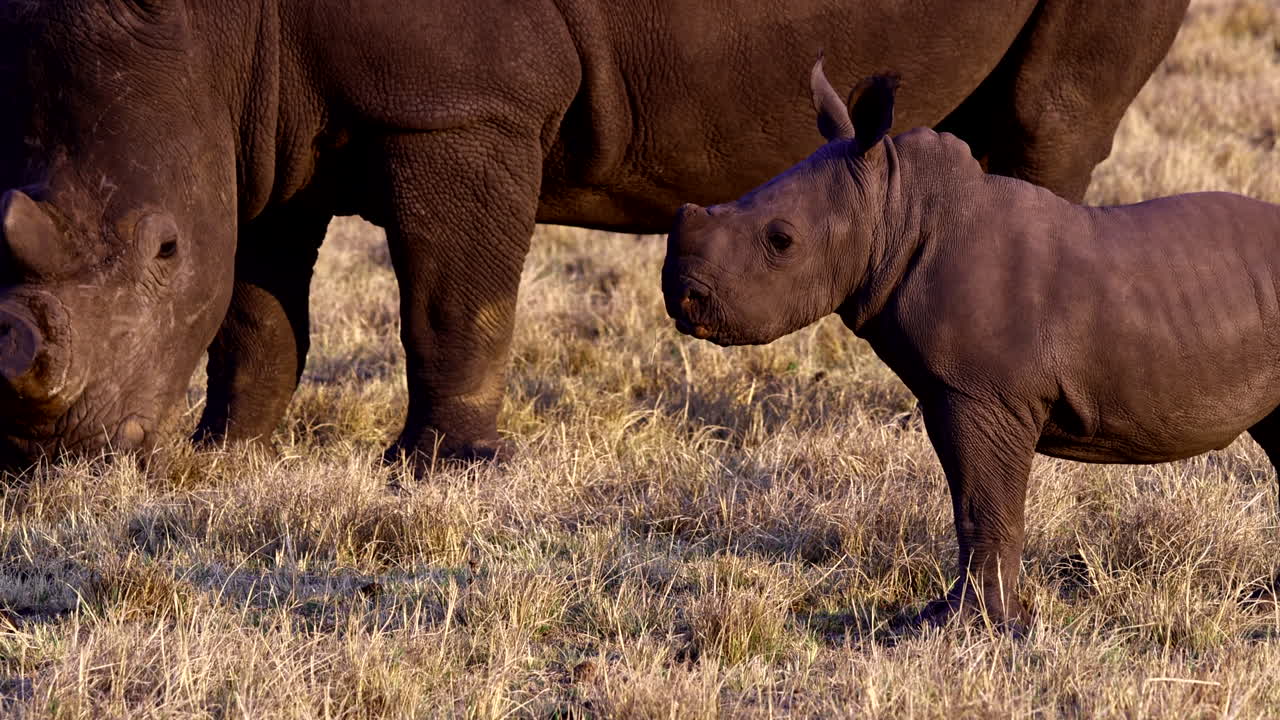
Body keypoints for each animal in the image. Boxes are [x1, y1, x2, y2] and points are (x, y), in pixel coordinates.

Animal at [0, 0, 1188, 470]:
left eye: (160, 252)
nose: (55, 454)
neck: (212, 25)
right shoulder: (258, 121)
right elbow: (254, 303)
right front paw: (226, 451)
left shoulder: (461, 103)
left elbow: (453, 297)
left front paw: (444, 469)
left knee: (1045, 117)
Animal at [661, 60, 1280, 629]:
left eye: (781, 241)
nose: (681, 295)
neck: (895, 204)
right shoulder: (953, 393)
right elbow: (970, 505)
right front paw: (960, 617)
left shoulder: (983, 394)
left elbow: (986, 506)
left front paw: (972, 625)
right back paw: (1265, 600)